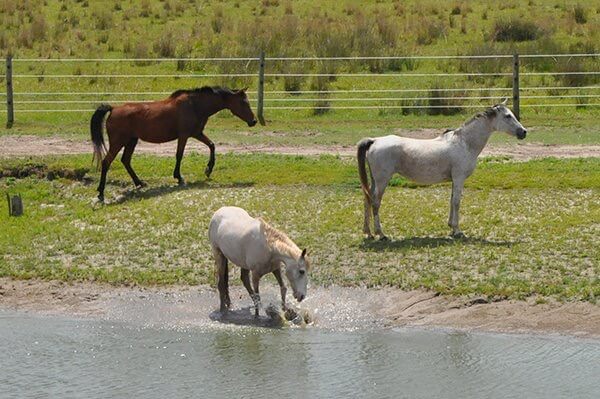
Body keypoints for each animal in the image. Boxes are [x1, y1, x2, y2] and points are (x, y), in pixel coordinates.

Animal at [90, 86, 256, 202]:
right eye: (243, 102)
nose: (254, 121)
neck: (195, 105)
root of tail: (113, 108)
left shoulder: (197, 133)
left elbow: (212, 145)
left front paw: (208, 169)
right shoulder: (184, 136)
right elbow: (179, 155)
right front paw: (179, 177)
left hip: (131, 141)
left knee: (125, 160)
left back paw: (139, 183)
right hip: (118, 142)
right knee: (106, 162)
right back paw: (101, 192)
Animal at [358, 103, 528, 241]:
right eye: (507, 116)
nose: (523, 132)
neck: (465, 143)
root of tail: (374, 140)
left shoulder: (454, 180)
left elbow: (452, 200)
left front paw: (451, 228)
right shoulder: (459, 178)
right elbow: (457, 202)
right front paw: (458, 231)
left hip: (374, 181)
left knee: (367, 199)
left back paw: (368, 233)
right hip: (382, 181)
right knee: (375, 203)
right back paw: (380, 234)